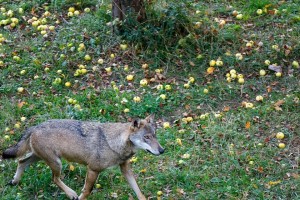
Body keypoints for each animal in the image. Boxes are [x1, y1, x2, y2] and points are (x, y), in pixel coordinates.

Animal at [1, 114, 164, 200]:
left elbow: (138, 190)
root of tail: (35, 126)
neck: (113, 143)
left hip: (40, 158)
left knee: (21, 161)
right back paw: (71, 193)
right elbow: (87, 191)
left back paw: (14, 181)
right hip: (56, 163)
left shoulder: (125, 168)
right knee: (54, 178)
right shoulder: (92, 170)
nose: (162, 150)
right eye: (147, 137)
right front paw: (79, 197)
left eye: (155, 135)